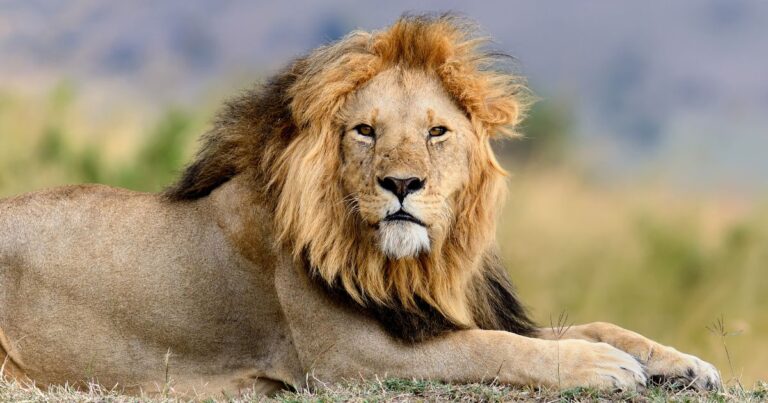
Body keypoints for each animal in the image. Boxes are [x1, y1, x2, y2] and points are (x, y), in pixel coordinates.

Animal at [0, 15, 720, 397]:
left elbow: (592, 324)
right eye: (365, 131)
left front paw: (683, 360)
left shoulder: (431, 313)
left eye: (436, 132)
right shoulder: (352, 359)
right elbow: (494, 348)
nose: (402, 184)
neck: (412, 264)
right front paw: (601, 367)